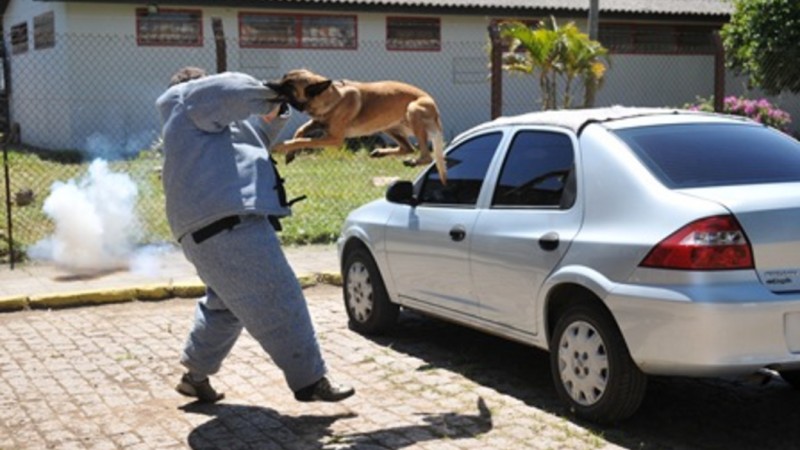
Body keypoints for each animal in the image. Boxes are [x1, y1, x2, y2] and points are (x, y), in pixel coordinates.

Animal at [266, 70, 446, 183]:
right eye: (283, 78)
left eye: (288, 85)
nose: (266, 82)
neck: (331, 96)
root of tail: (435, 107)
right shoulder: (318, 122)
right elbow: (300, 131)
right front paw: (290, 154)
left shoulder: (334, 138)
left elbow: (302, 140)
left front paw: (281, 146)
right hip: (386, 125)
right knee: (408, 147)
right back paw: (381, 152)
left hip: (412, 109)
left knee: (426, 155)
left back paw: (415, 161)